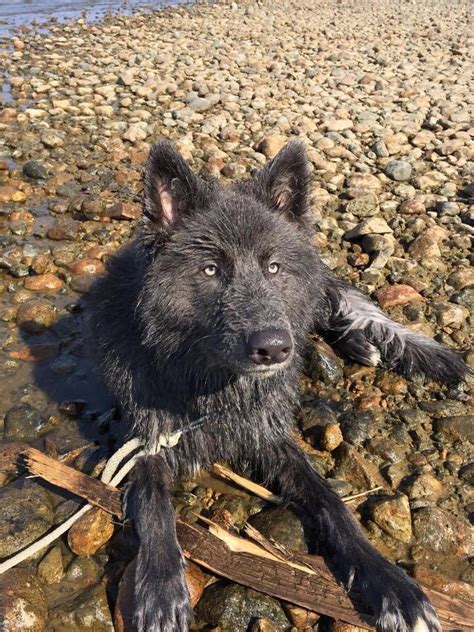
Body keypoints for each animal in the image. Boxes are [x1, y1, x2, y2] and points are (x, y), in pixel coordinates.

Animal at [86, 141, 466, 628]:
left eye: (273, 267)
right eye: (210, 270)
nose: (274, 348)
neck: (216, 389)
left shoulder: (272, 438)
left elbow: (331, 503)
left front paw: (388, 581)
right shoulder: (147, 444)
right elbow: (155, 509)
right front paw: (160, 590)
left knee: (333, 305)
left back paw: (365, 343)